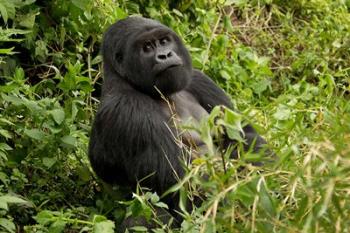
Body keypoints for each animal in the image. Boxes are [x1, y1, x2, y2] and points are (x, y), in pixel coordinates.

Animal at [88, 16, 268, 215]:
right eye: (147, 47)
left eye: (164, 41)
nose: (165, 55)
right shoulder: (128, 110)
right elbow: (190, 186)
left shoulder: (199, 79)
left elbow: (246, 137)